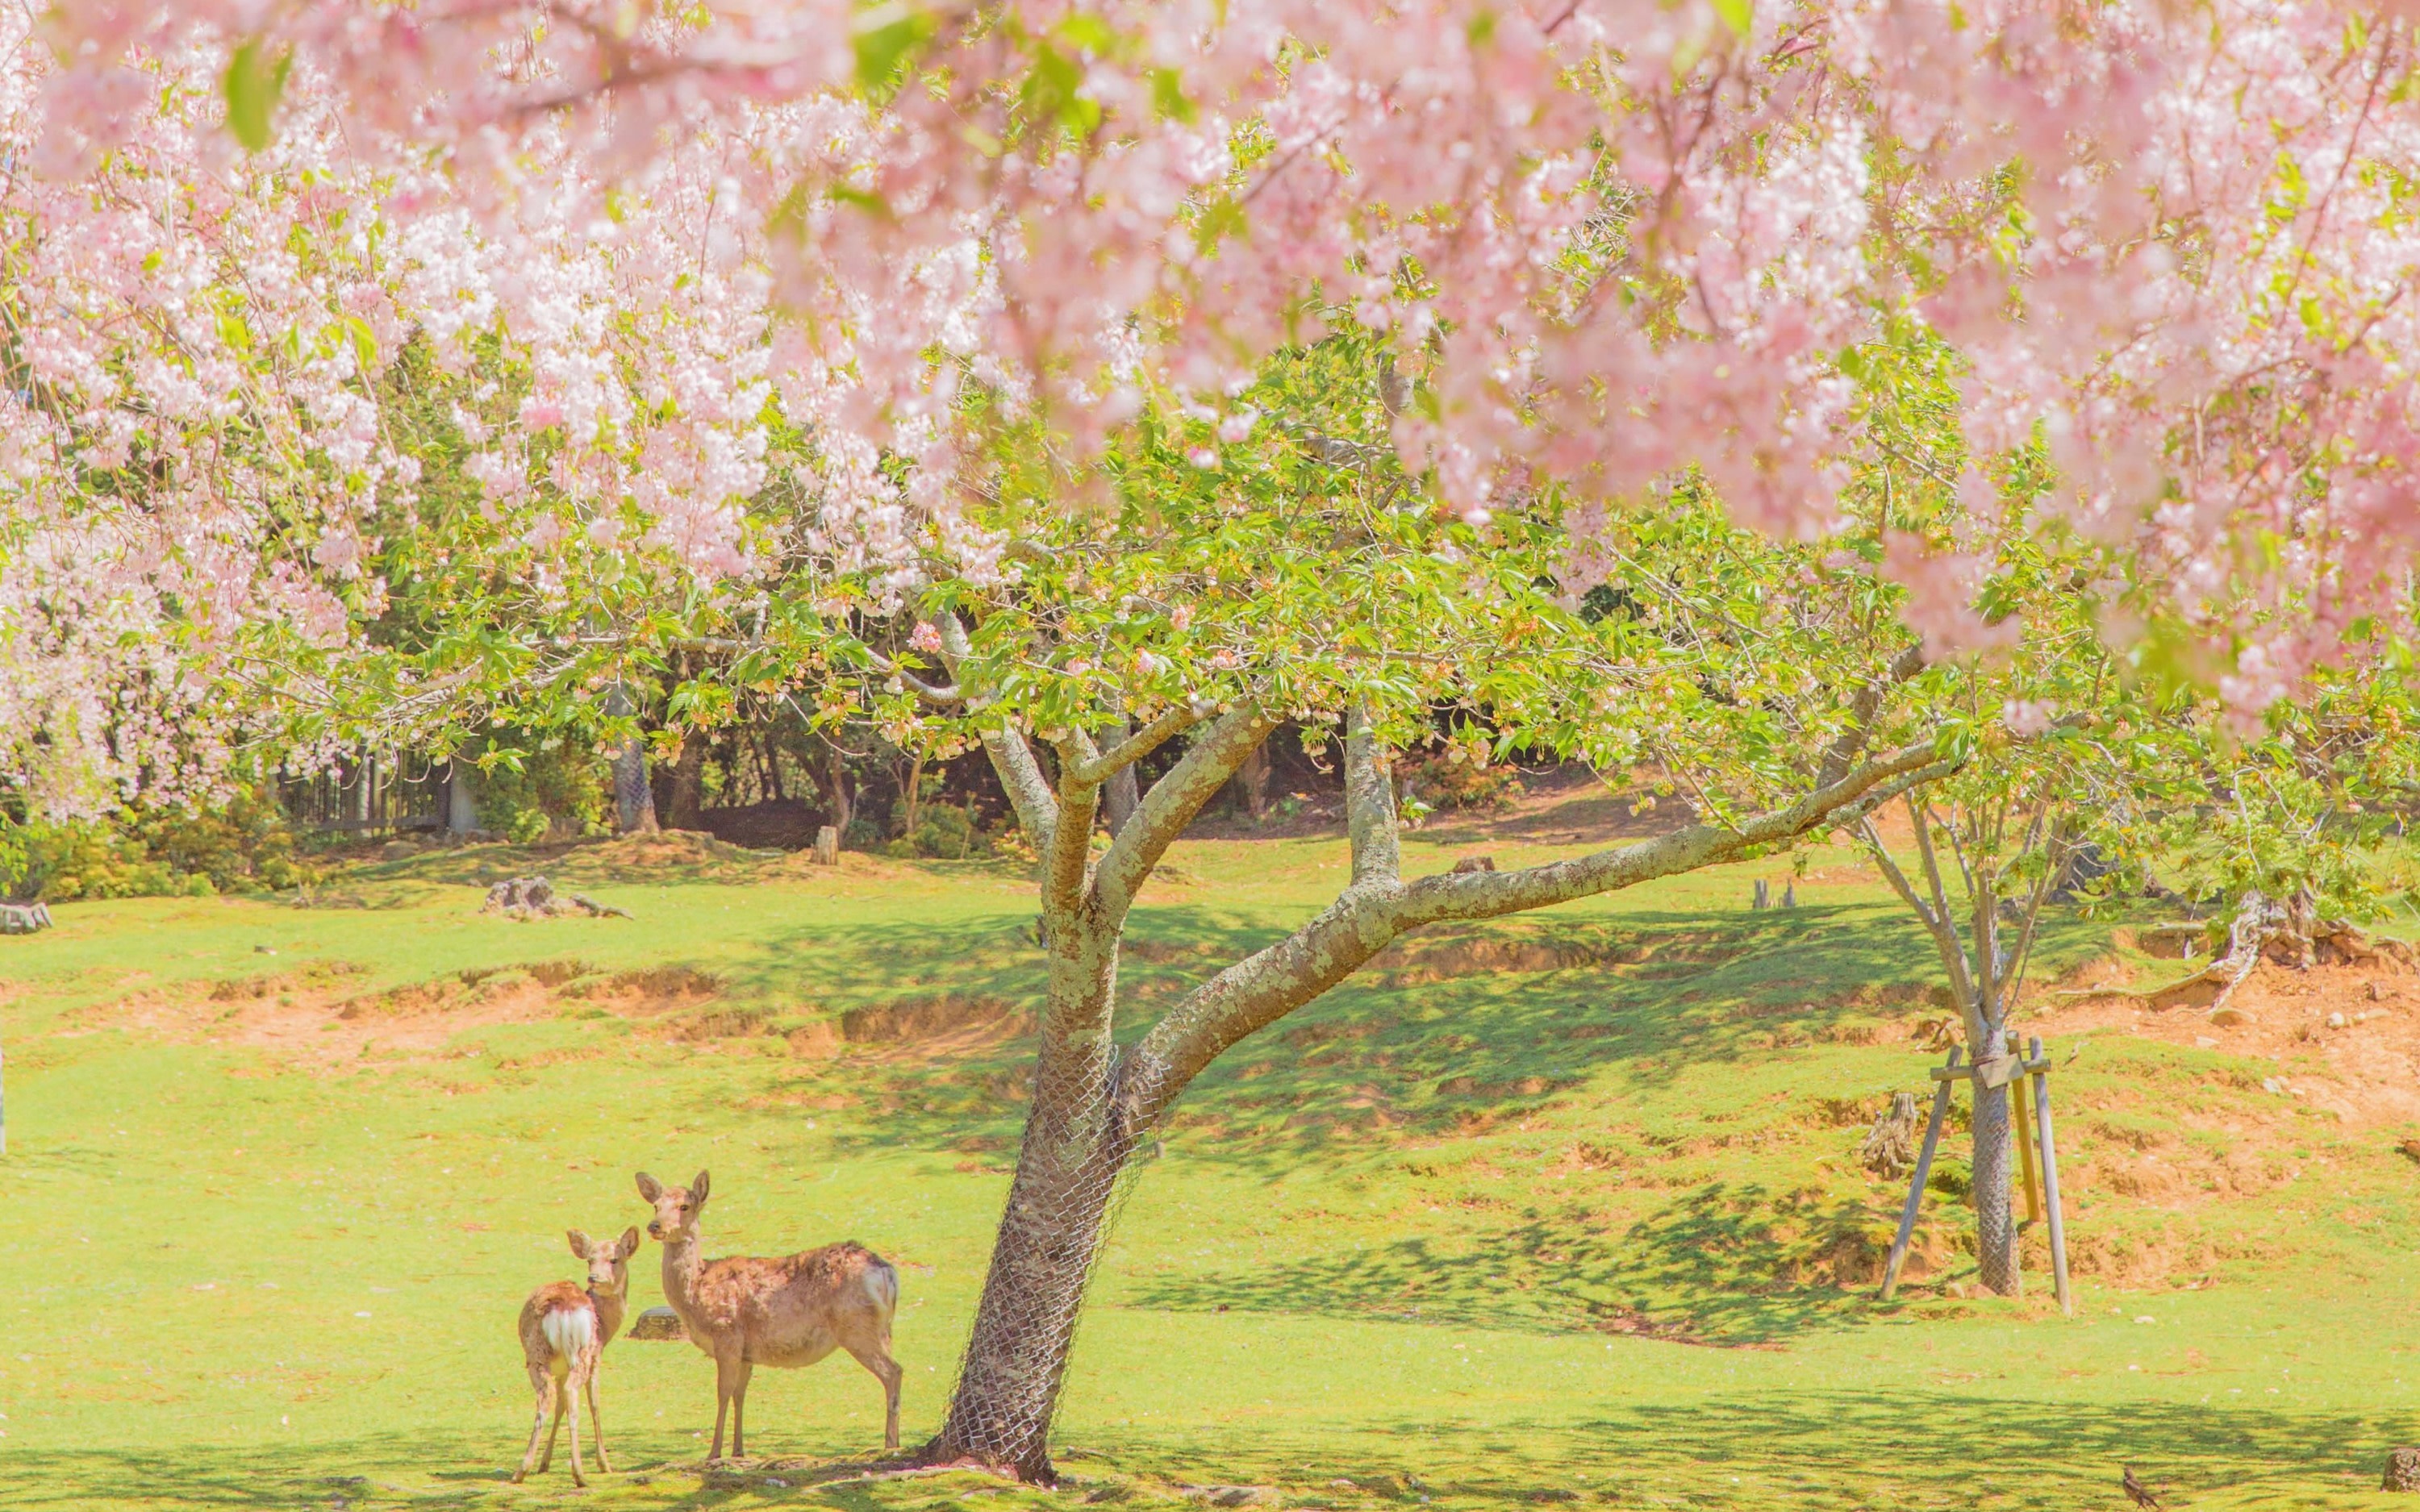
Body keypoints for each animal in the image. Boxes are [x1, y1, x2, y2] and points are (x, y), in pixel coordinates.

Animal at [511, 1226, 641, 1487]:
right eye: (590, 1259)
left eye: (614, 1259)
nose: (594, 1277)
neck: (606, 1327)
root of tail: (564, 1308)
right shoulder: (597, 1356)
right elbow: (595, 1404)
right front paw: (605, 1465)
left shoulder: (561, 1368)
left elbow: (559, 1406)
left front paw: (545, 1463)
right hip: (575, 1354)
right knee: (570, 1396)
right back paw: (577, 1473)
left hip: (545, 1356)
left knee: (550, 1399)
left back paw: (526, 1469)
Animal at [634, 1169, 903, 1460]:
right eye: (656, 1206)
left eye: (684, 1206)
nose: (654, 1226)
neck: (697, 1290)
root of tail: (887, 1273)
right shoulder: (746, 1353)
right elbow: (740, 1394)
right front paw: (738, 1451)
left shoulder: (727, 1334)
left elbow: (723, 1392)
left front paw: (714, 1453)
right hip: (882, 1329)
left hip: (856, 1326)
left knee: (893, 1371)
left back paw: (891, 1444)